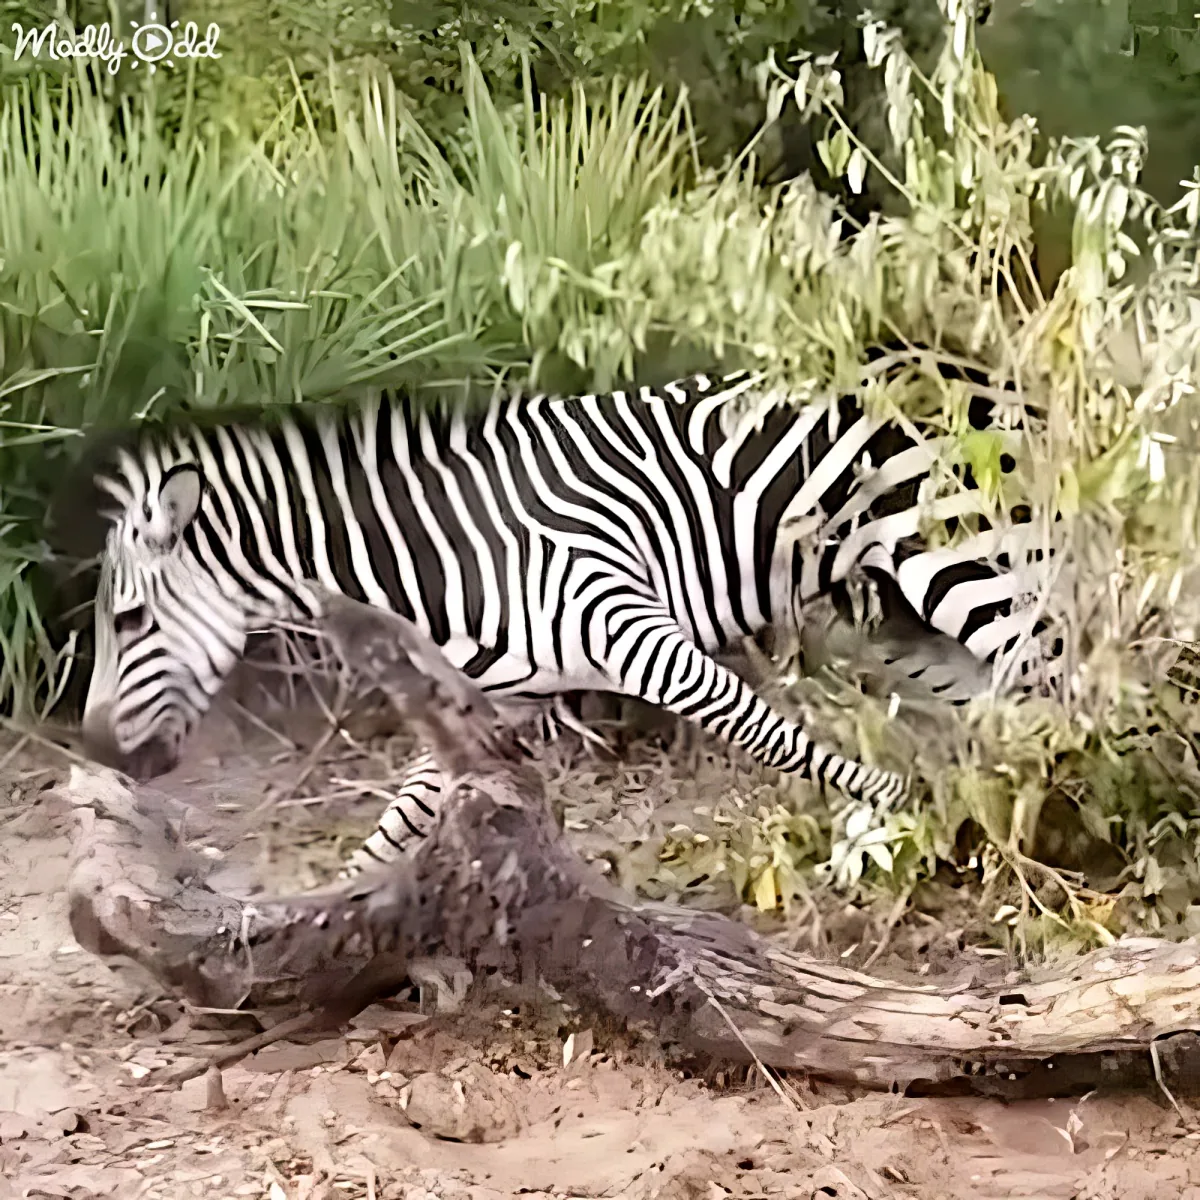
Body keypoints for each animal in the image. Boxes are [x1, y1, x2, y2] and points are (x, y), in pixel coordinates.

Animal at [71, 352, 1059, 864]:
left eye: (128, 624)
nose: (97, 755)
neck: (447, 560)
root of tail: (964, 362)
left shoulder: (636, 632)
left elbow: (779, 738)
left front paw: (910, 815)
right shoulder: (500, 697)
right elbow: (396, 829)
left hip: (957, 554)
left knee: (1052, 669)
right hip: (899, 611)